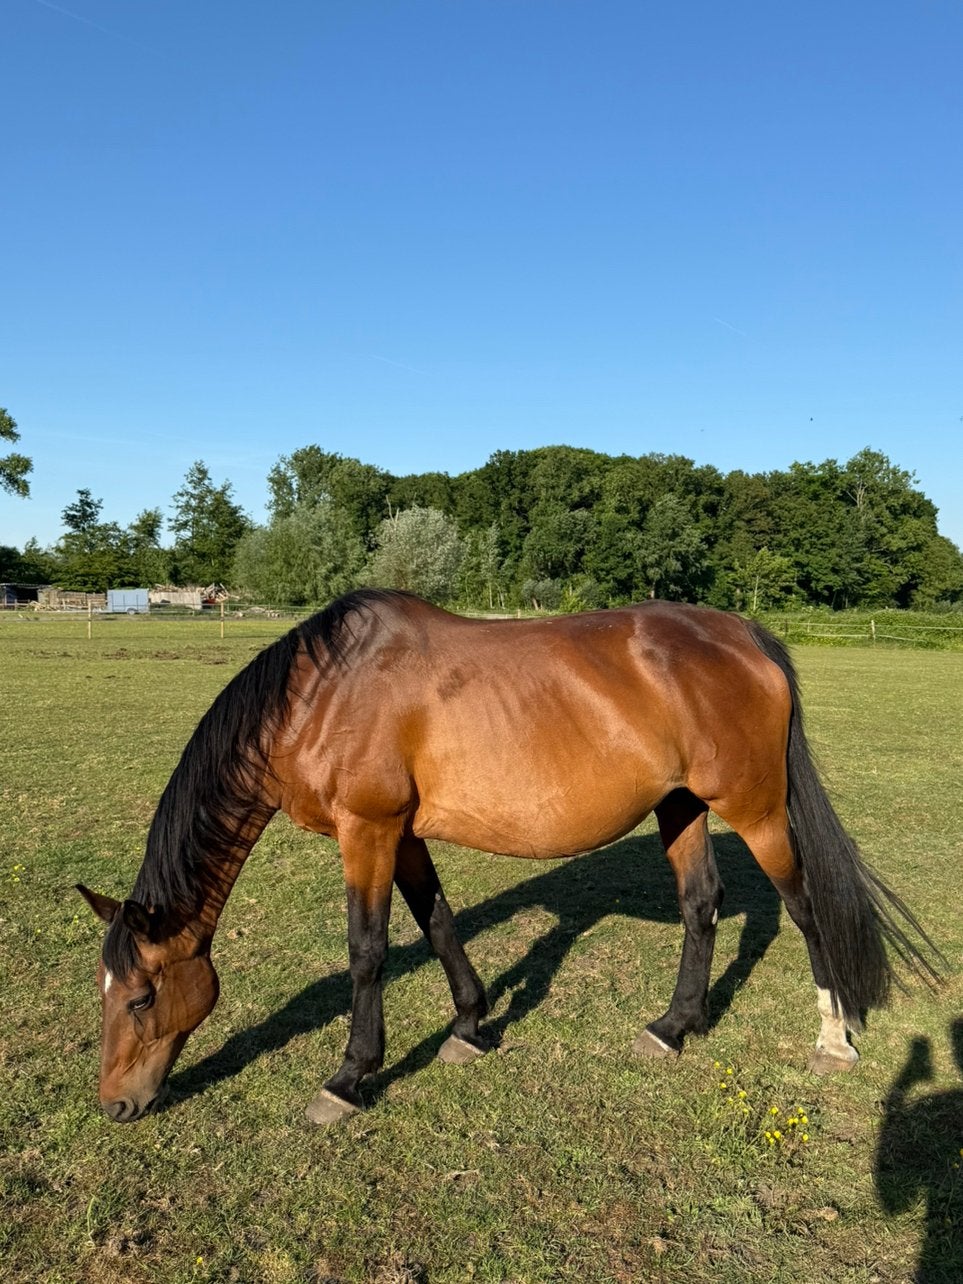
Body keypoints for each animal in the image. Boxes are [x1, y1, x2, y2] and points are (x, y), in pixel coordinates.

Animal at [77, 589, 937, 1125]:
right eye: (106, 991)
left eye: (142, 998)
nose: (115, 1103)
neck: (319, 696)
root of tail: (737, 632)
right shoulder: (404, 834)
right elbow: (438, 925)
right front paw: (468, 1025)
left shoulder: (368, 830)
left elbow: (367, 951)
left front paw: (350, 1077)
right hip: (681, 806)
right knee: (701, 904)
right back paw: (672, 1026)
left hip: (754, 809)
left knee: (803, 908)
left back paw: (833, 1039)